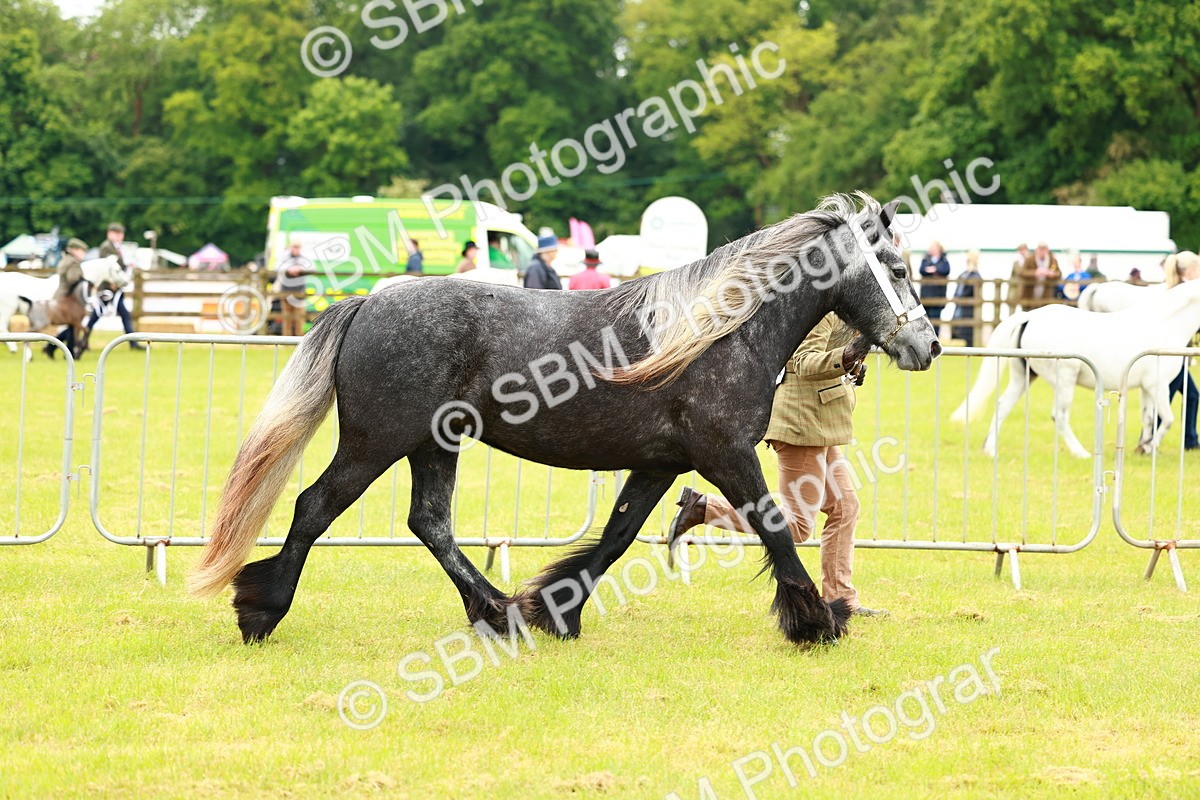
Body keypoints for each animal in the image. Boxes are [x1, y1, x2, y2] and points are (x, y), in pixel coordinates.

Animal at [0, 256, 130, 355]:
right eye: (118, 269)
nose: (126, 282)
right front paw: (76, 350)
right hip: (8, 310)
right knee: (5, 327)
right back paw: (16, 350)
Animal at [187, 192, 940, 647]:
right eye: (899, 269)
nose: (926, 346)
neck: (720, 332)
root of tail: (368, 301)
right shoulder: (726, 454)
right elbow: (777, 528)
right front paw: (816, 622)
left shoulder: (660, 464)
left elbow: (616, 537)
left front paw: (556, 611)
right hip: (376, 442)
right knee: (315, 507)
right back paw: (261, 610)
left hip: (434, 445)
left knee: (430, 523)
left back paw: (498, 613)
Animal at [952, 277, 1200, 458]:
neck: (1167, 323)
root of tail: (1029, 317)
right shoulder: (1158, 385)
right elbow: (1167, 419)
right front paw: (1151, 447)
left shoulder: (1147, 387)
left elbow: (1149, 419)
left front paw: (1144, 447)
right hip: (1064, 380)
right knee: (1059, 416)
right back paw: (1081, 452)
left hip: (1023, 377)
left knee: (1003, 406)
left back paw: (990, 450)